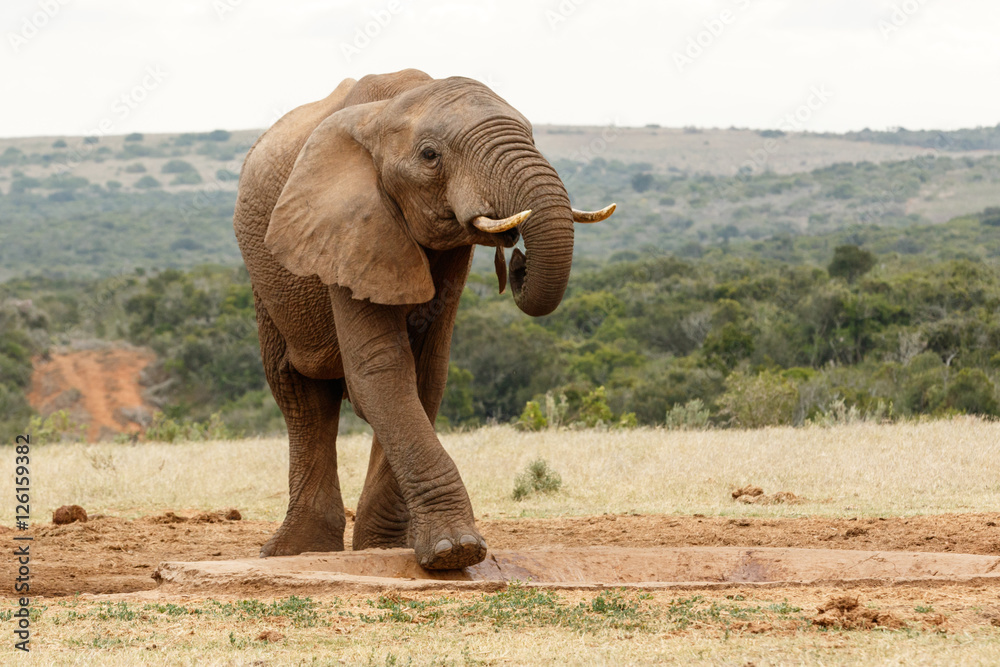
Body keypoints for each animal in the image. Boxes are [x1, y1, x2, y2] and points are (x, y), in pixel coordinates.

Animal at [233, 68, 615, 570]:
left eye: (533, 137)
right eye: (430, 156)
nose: (518, 259)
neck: (393, 106)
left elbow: (425, 373)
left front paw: (394, 548)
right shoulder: (347, 228)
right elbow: (381, 369)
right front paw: (456, 552)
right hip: (267, 277)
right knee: (299, 392)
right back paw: (296, 551)